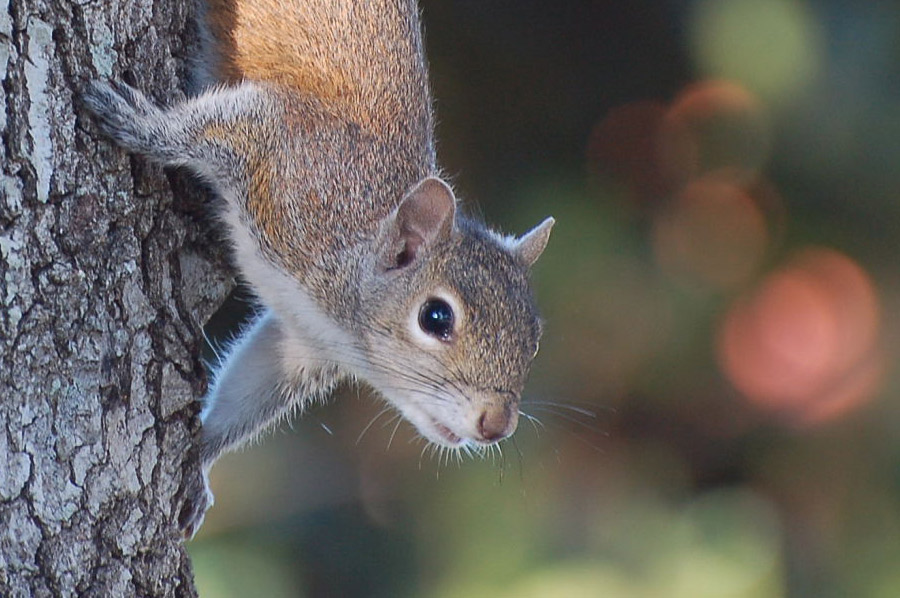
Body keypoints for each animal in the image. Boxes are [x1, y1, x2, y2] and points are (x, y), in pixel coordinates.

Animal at [84, 0, 552, 540]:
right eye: (436, 318)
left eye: (534, 339)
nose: (496, 425)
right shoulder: (287, 153)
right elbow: (211, 128)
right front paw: (139, 123)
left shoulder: (303, 341)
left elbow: (253, 386)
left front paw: (199, 457)